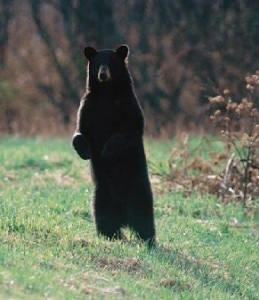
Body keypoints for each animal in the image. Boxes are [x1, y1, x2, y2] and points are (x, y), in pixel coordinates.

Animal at [72, 44, 155, 246]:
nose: (103, 74)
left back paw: (148, 240)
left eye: (111, 63)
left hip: (139, 191)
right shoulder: (88, 106)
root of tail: (124, 218)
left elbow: (132, 128)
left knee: (144, 218)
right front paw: (86, 151)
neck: (106, 93)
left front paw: (107, 150)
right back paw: (110, 235)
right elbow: (79, 131)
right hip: (102, 195)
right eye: (98, 64)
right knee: (102, 217)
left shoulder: (128, 104)